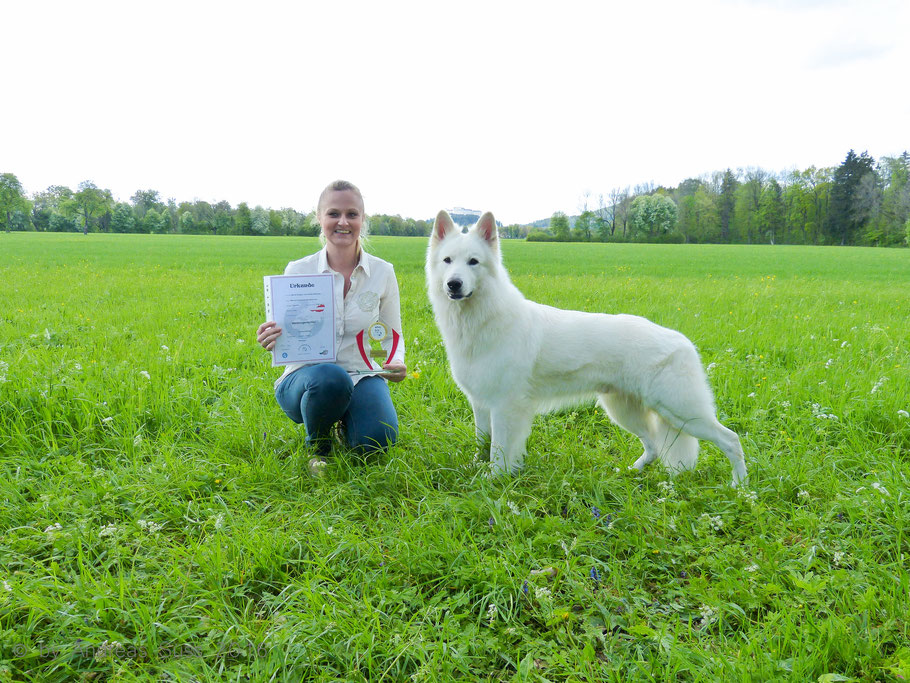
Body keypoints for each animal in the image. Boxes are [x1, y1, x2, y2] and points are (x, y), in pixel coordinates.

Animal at [428, 210, 748, 486]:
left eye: (473, 262)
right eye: (447, 260)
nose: (453, 284)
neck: (482, 319)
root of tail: (683, 341)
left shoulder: (506, 407)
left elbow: (498, 451)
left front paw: (493, 481)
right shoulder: (482, 404)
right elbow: (482, 443)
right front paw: (476, 468)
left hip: (682, 412)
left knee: (731, 440)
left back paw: (740, 487)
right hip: (625, 411)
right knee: (654, 446)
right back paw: (629, 472)